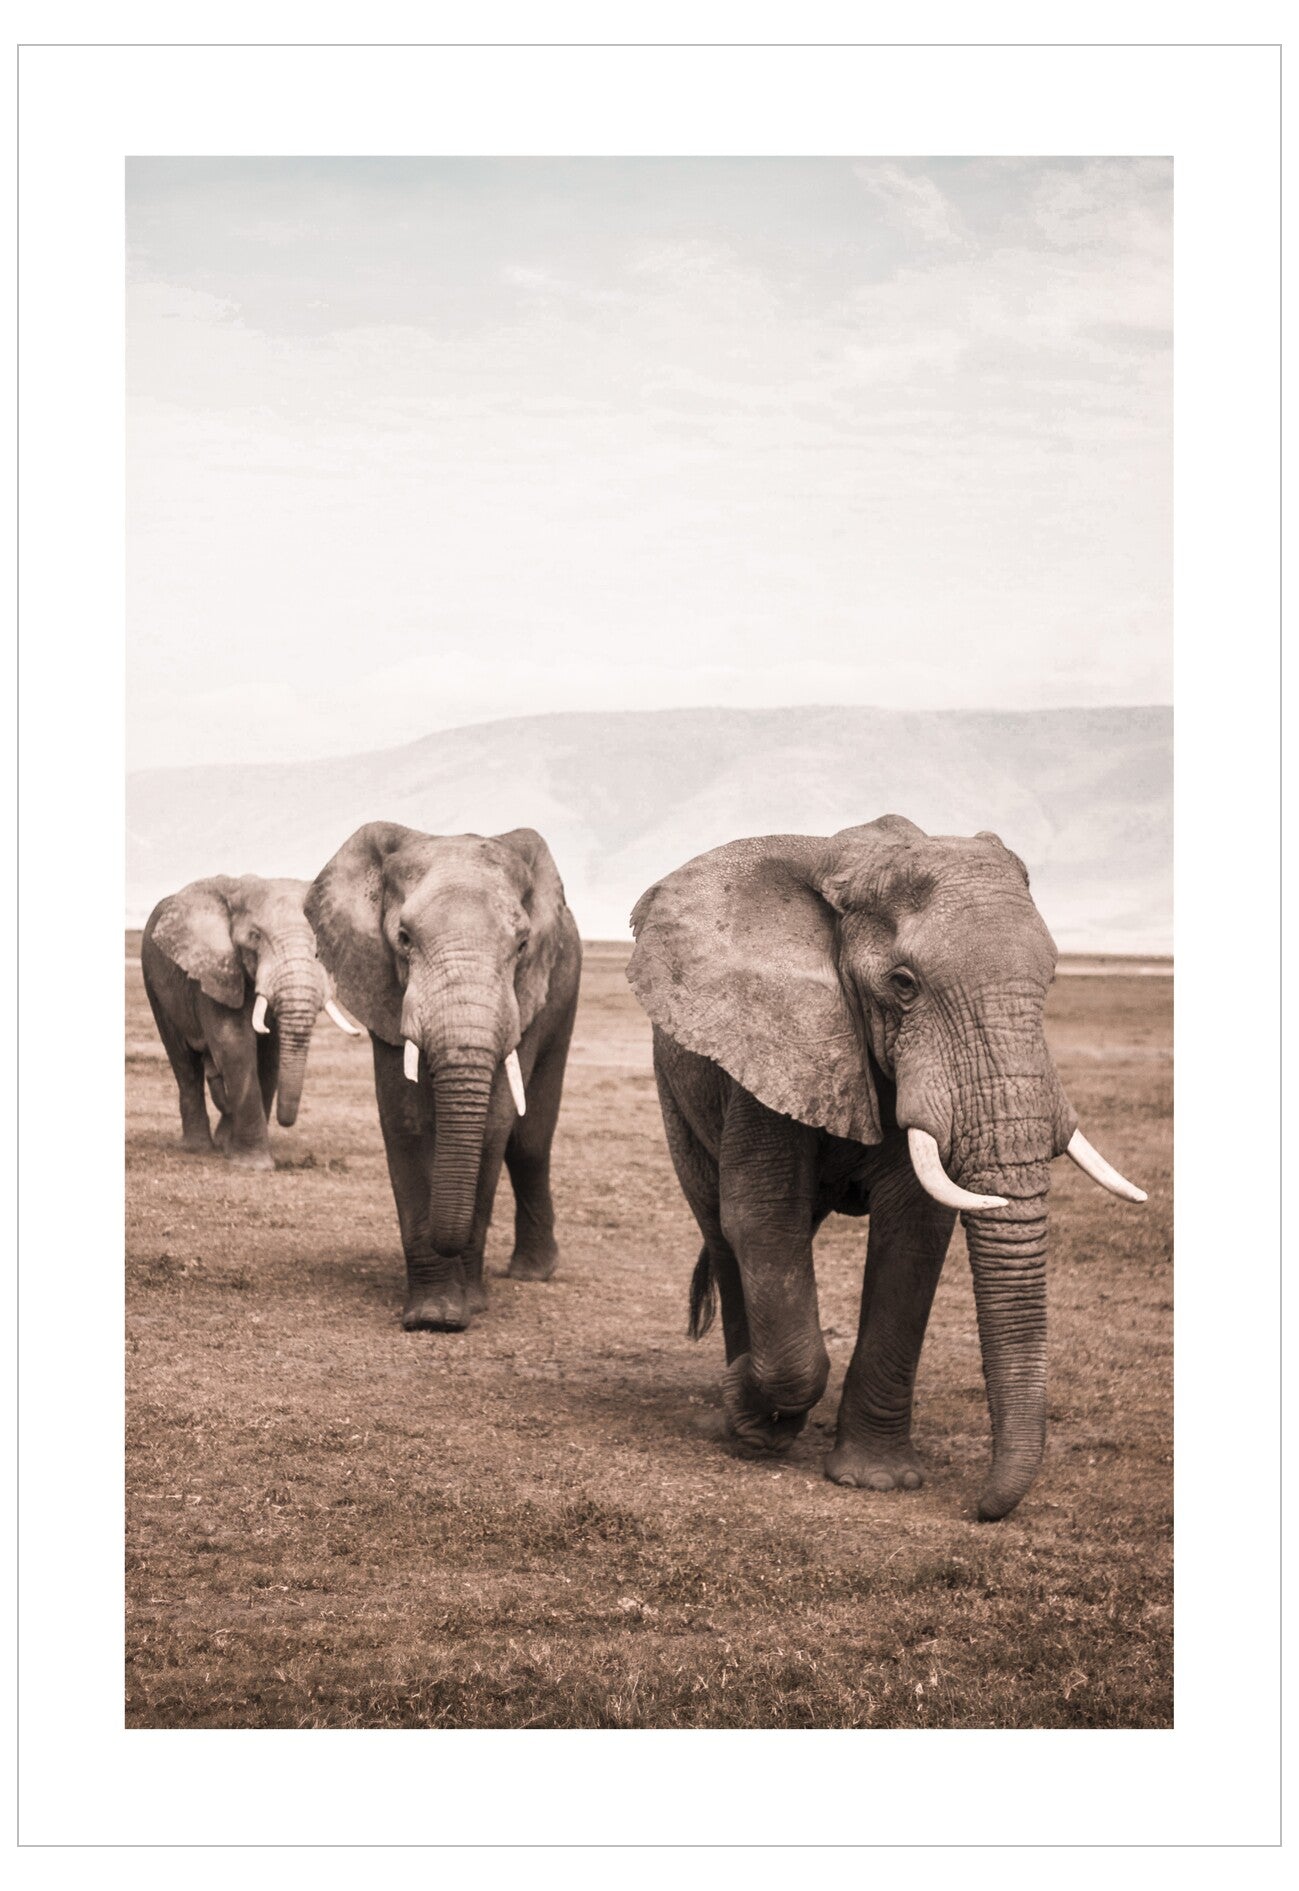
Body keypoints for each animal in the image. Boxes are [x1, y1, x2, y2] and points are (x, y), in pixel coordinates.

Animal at [142, 874, 360, 1171]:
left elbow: (269, 1055)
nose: (285, 1120)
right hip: (153, 980)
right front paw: (254, 1165)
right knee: (183, 1061)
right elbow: (234, 1044)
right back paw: (198, 1147)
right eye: (255, 937)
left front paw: (235, 1151)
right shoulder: (215, 970)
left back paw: (222, 1142)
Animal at [306, 823, 581, 1333]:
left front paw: (467, 1307)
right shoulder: (383, 987)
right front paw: (434, 1316)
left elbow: (493, 1126)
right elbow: (407, 1121)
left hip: (564, 991)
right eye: (403, 937)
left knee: (530, 1141)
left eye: (522, 946)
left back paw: (533, 1273)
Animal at [627, 815, 1146, 1522]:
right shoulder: (773, 1039)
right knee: (721, 1226)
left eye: (1053, 979)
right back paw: (744, 1420)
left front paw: (877, 1481)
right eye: (903, 984)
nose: (981, 1508)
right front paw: (750, 1408)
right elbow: (762, 1219)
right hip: (674, 1090)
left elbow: (915, 1232)